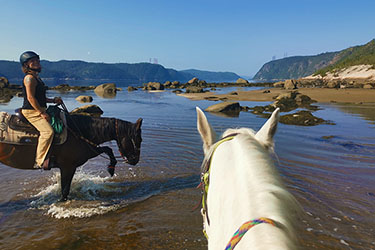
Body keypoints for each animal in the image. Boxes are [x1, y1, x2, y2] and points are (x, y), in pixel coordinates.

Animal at [0, 114, 142, 202]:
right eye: (138, 139)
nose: (135, 160)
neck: (77, 132)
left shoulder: (87, 150)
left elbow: (108, 149)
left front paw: (111, 169)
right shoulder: (67, 167)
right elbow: (64, 190)